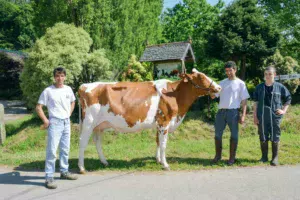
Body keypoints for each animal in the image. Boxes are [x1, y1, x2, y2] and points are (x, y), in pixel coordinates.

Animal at [78, 68, 220, 172]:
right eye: (201, 77)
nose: (219, 88)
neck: (175, 95)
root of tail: (84, 86)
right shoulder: (164, 122)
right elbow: (163, 144)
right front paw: (165, 164)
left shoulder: (159, 124)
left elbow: (157, 142)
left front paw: (158, 160)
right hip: (88, 122)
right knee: (83, 141)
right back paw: (82, 168)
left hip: (99, 126)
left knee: (97, 142)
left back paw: (104, 162)